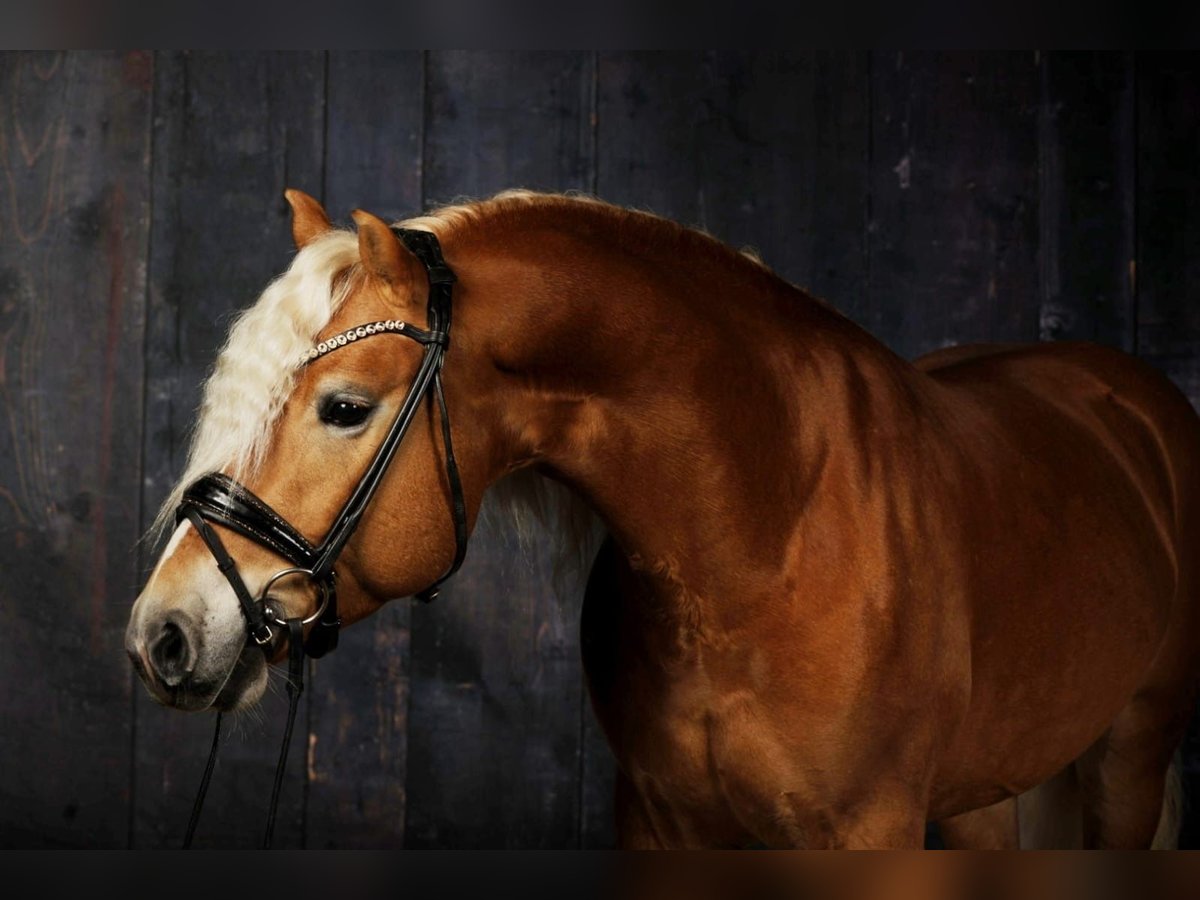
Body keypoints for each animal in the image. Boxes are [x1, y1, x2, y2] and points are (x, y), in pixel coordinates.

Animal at [126, 187, 1195, 849]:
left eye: (345, 407)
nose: (163, 634)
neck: (765, 538)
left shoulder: (873, 827)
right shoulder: (660, 822)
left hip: (1132, 754)